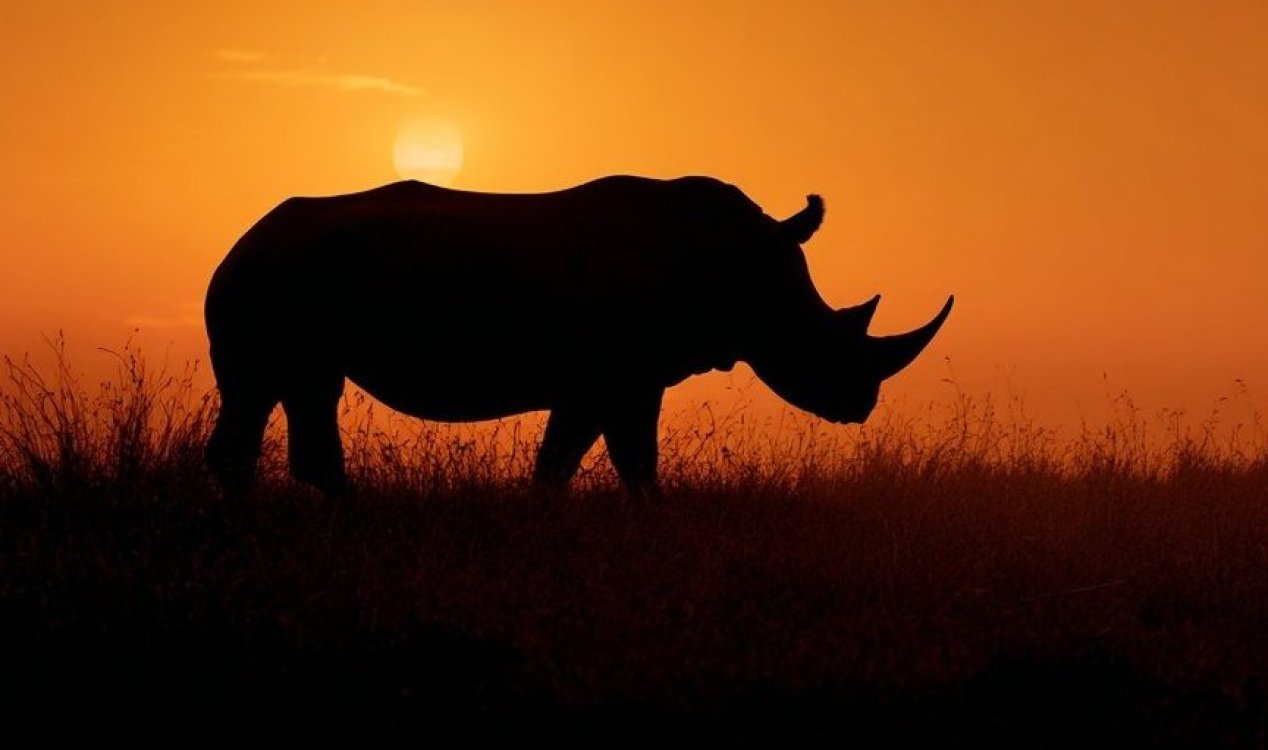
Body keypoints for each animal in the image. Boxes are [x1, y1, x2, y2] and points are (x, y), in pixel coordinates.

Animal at [205, 176, 952, 494]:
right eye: (815, 337)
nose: (860, 407)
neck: (743, 264)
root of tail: (241, 240)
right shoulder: (621, 375)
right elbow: (628, 460)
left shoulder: (604, 378)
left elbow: (564, 460)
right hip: (269, 279)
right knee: (279, 389)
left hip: (283, 285)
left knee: (284, 392)